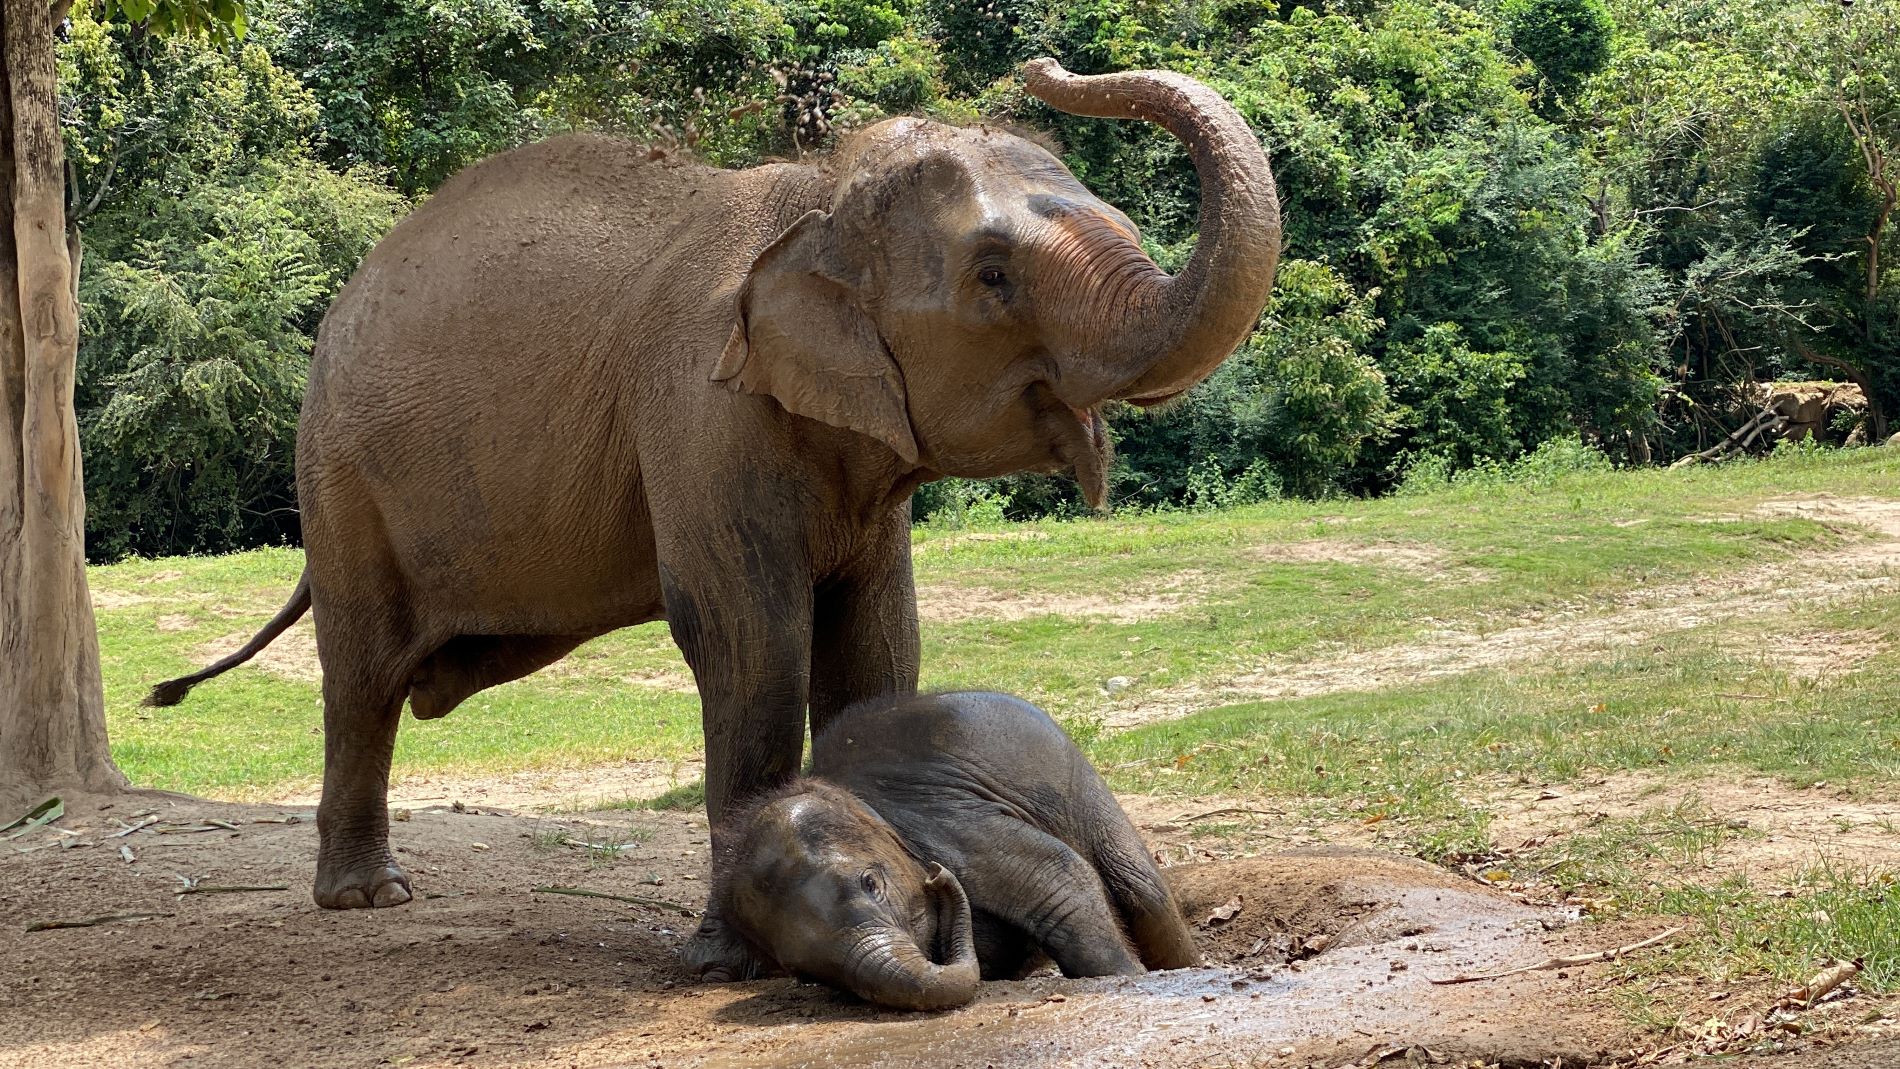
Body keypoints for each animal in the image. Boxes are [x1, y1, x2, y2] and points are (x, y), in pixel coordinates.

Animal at [148, 56, 1276, 911]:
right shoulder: (698, 413)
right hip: (342, 479)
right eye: (993, 275)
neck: (814, 192)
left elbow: (877, 645)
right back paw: (368, 897)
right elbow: (750, 641)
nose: (1041, 65)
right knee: (365, 679)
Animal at [687, 694, 1200, 1010]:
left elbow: (1062, 881)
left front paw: (1127, 977)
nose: (938, 877)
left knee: (1143, 891)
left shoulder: (952, 824)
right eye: (800, 973)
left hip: (1082, 785)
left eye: (871, 883)